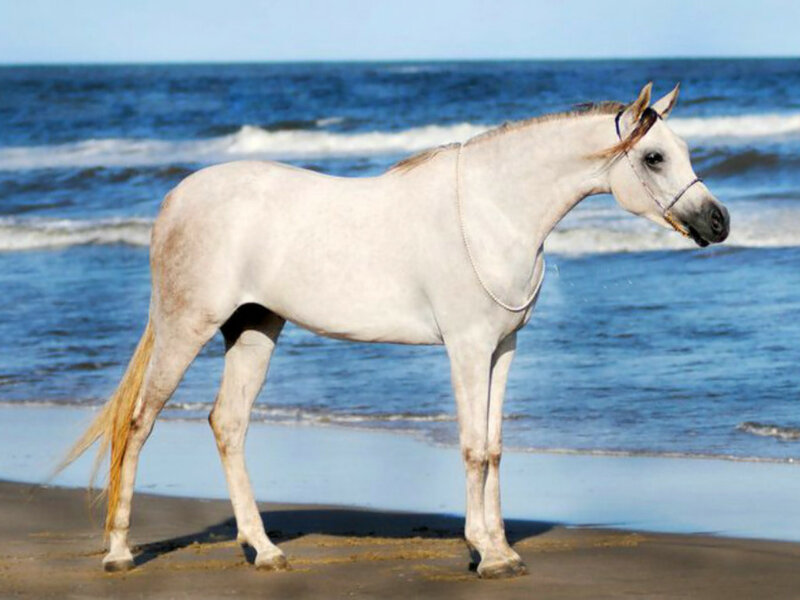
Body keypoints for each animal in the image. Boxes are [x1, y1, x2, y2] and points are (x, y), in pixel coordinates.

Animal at [59, 82, 729, 578]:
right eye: (654, 157)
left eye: (684, 148)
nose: (717, 222)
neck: (494, 211)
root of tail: (177, 198)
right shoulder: (466, 349)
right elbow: (473, 447)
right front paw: (486, 556)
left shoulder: (502, 349)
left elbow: (495, 447)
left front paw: (502, 549)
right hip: (187, 326)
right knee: (139, 423)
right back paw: (119, 553)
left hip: (254, 328)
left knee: (228, 425)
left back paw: (266, 550)